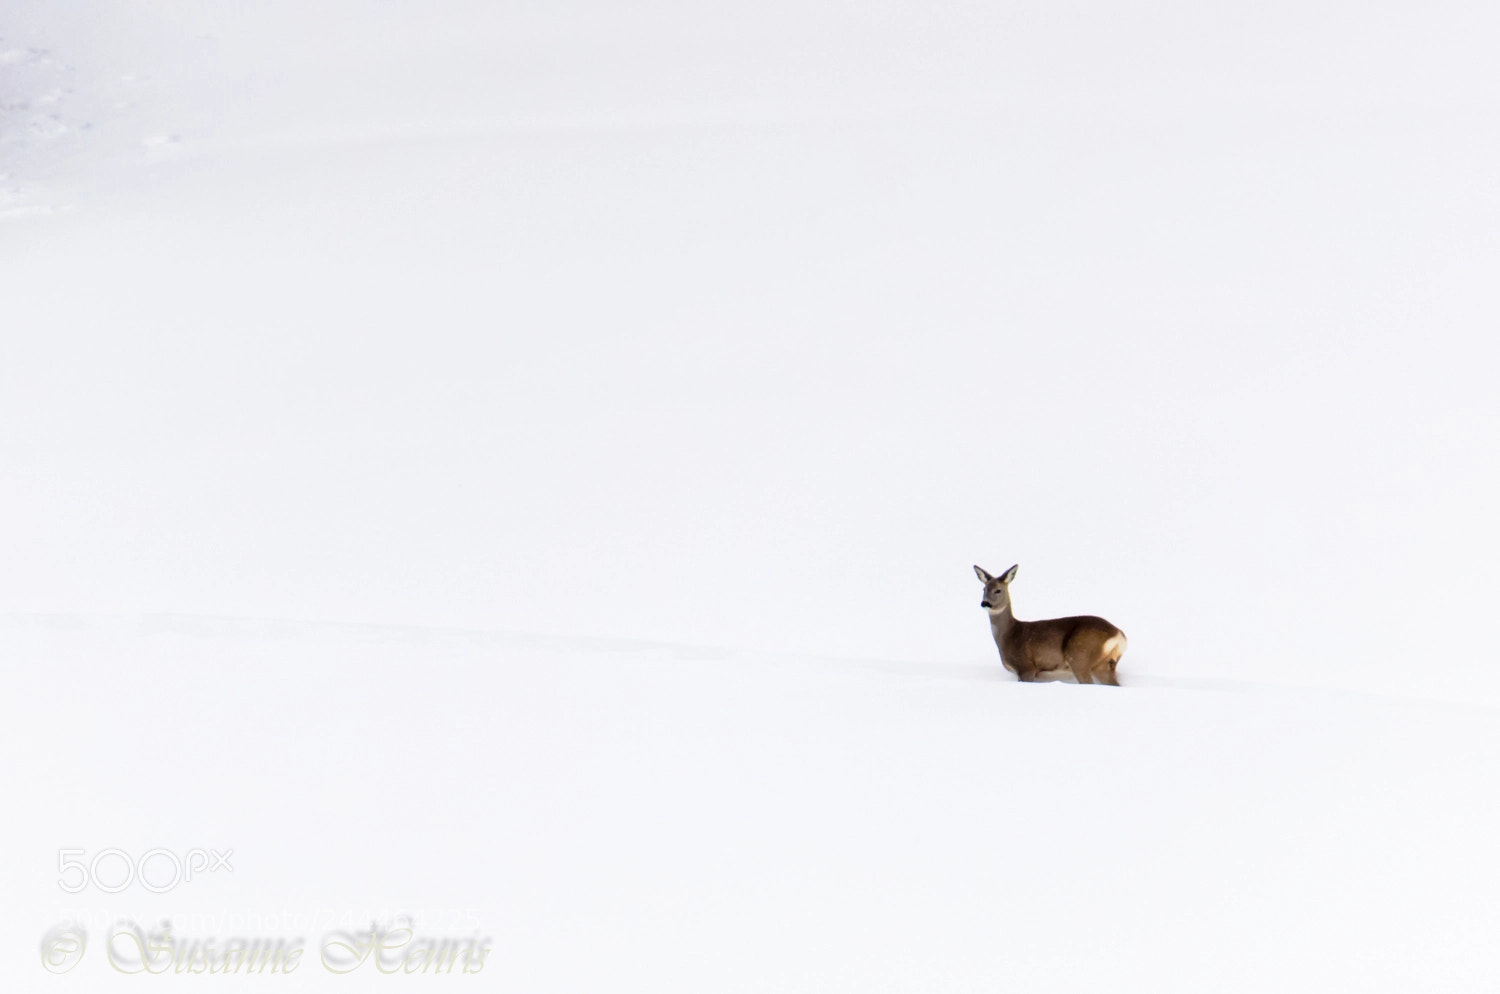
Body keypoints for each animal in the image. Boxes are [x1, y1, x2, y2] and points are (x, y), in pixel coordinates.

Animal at [973, 564, 1126, 685]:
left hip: (1080, 656)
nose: (985, 603)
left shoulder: (1026, 667)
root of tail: (1120, 636)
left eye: (998, 590)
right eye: (984, 589)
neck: (1009, 634)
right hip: (1104, 665)